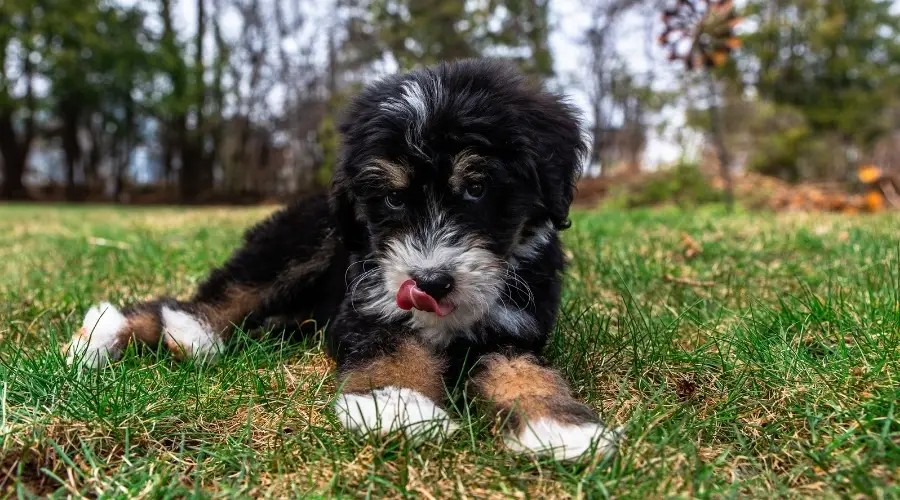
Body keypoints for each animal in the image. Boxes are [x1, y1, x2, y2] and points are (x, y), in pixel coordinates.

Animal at [67, 58, 624, 460]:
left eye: (477, 188)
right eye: (394, 200)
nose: (430, 282)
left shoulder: (516, 327)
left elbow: (522, 368)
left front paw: (558, 424)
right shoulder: (368, 304)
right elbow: (392, 346)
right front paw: (397, 405)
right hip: (301, 242)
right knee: (209, 297)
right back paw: (132, 332)